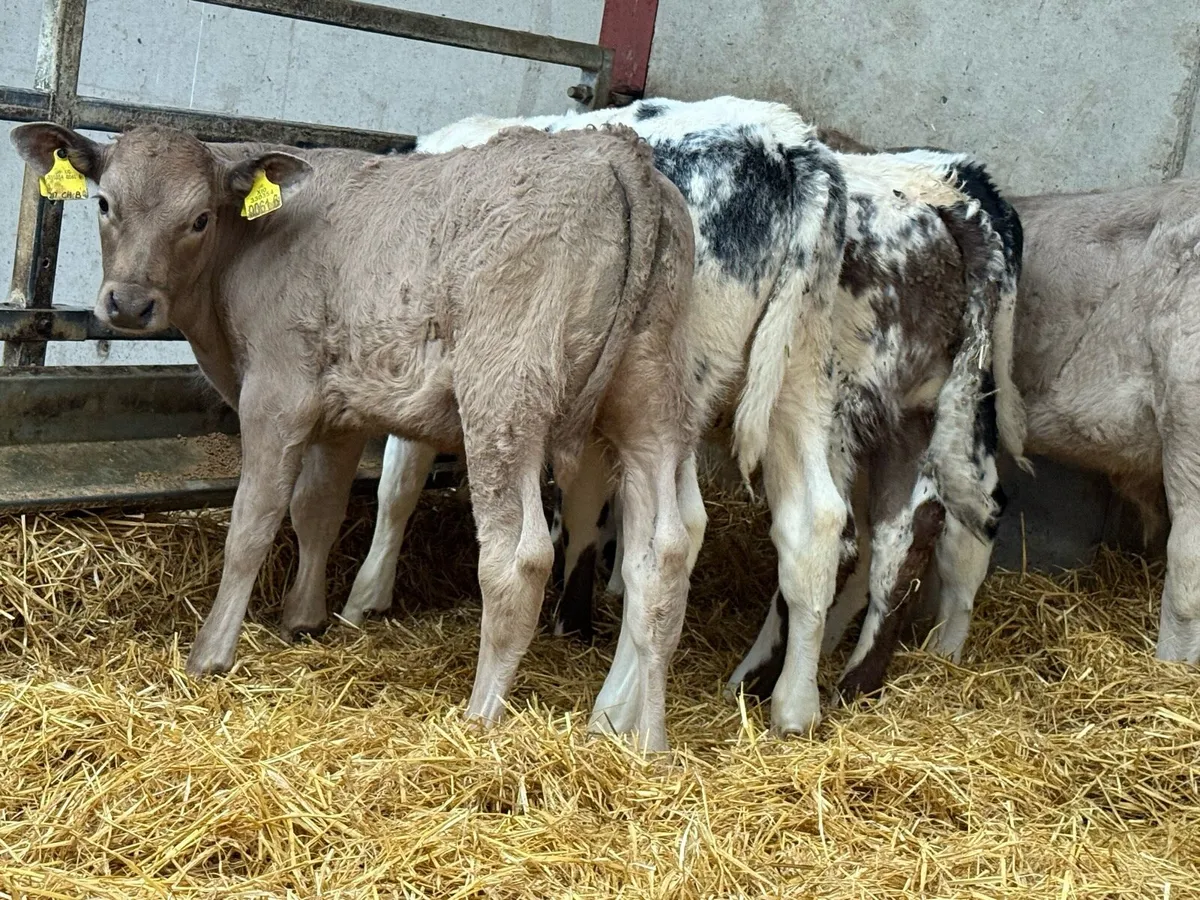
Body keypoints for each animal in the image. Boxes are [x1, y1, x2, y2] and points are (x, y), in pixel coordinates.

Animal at [10, 120, 706, 752]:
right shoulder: (337, 414)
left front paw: (210, 653)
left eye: (200, 218)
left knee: (520, 558)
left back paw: (480, 720)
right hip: (649, 397)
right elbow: (317, 511)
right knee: (665, 554)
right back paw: (648, 741)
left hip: (504, 397)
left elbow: (253, 524)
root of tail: (614, 153)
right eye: (105, 203)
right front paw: (303, 619)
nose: (128, 305)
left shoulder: (276, 393)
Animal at [339, 97, 1025, 730]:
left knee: (686, 531)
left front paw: (363, 600)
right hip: (817, 388)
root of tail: (791, 146)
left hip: (691, 388)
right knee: (858, 526)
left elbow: (399, 487)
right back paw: (807, 698)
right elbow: (583, 510)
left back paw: (622, 709)